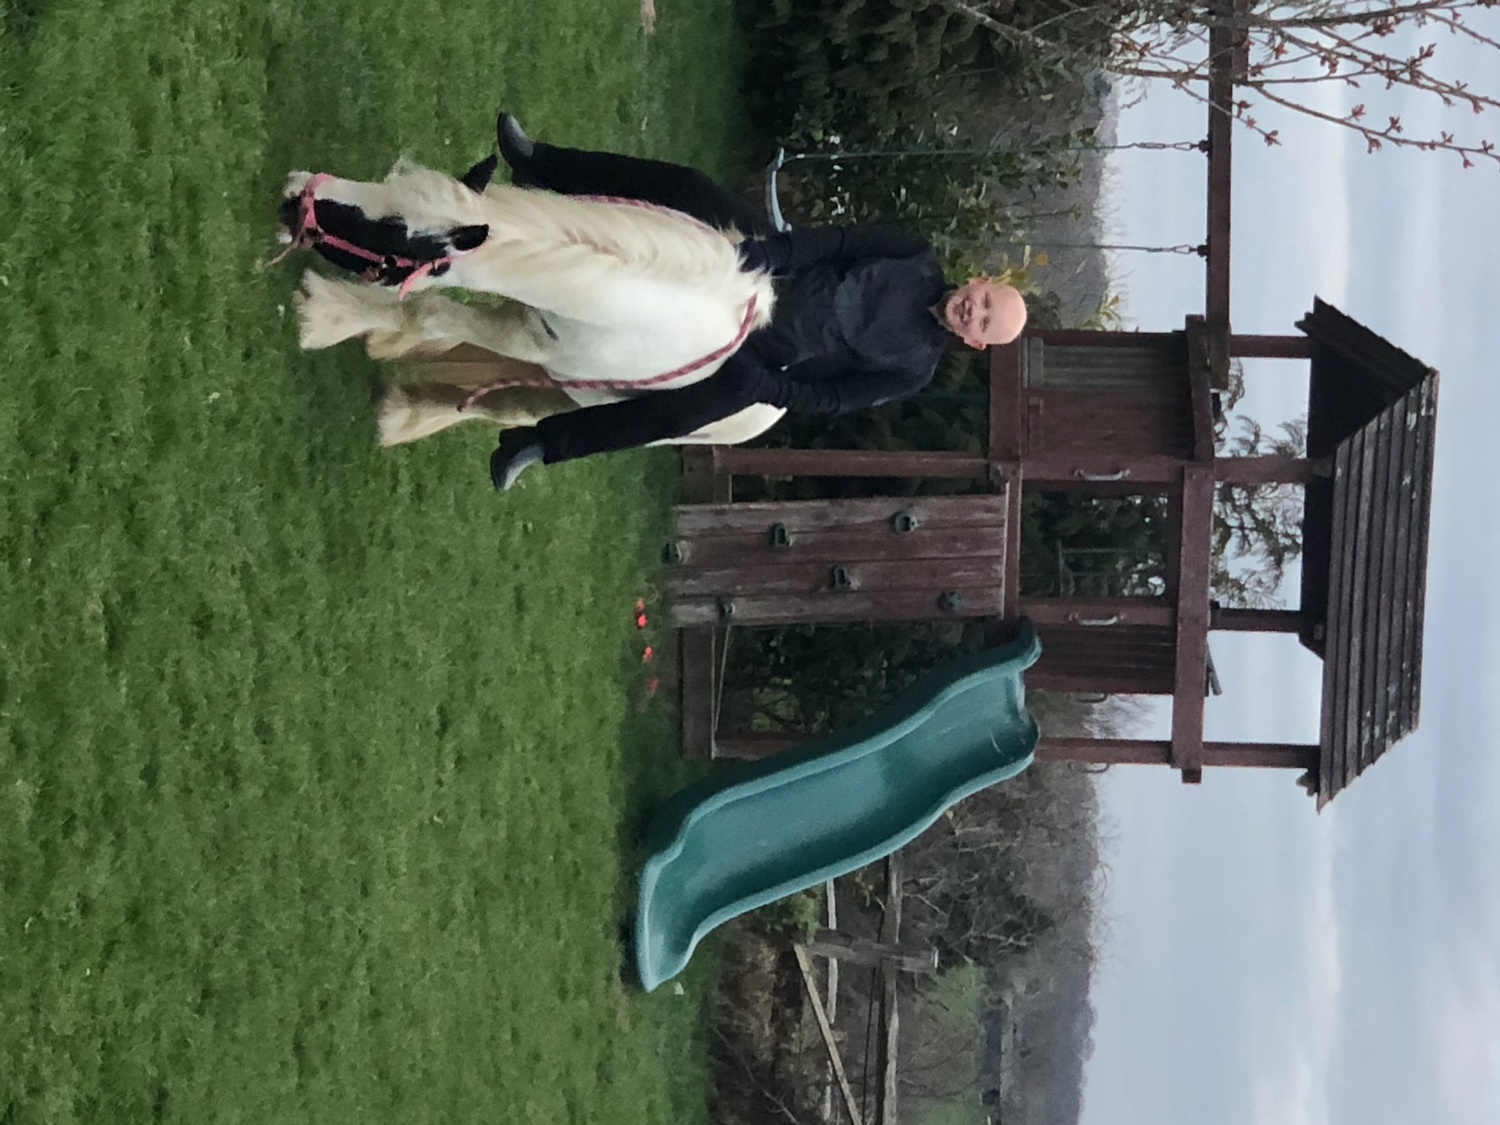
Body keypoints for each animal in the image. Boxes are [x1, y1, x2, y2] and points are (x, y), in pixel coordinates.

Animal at [277, 164, 786, 446]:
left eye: (393, 234)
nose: (291, 198)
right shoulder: (531, 317)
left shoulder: (531, 342)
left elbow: (430, 313)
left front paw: (322, 314)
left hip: (569, 397)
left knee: (506, 410)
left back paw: (403, 415)